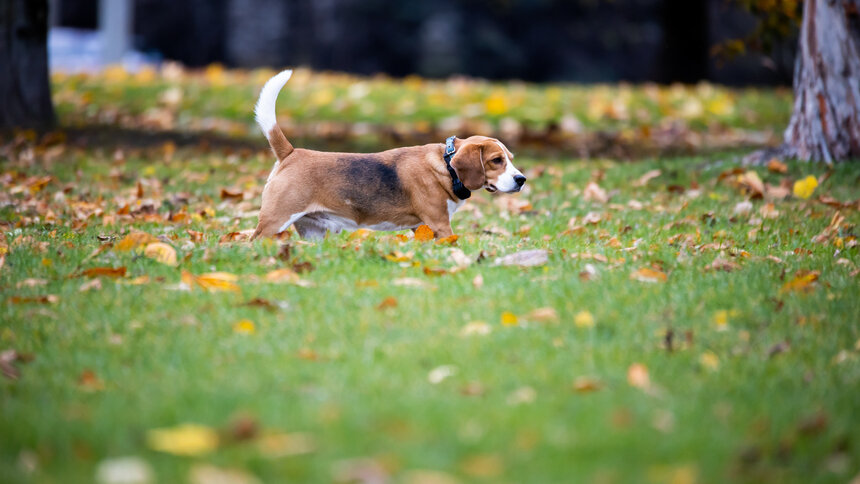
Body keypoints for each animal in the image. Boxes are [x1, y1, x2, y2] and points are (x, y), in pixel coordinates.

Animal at [252, 69, 528, 240]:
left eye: (510, 159)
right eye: (496, 161)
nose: (522, 180)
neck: (447, 165)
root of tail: (292, 153)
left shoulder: (422, 228)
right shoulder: (440, 225)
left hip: (313, 231)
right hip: (275, 220)